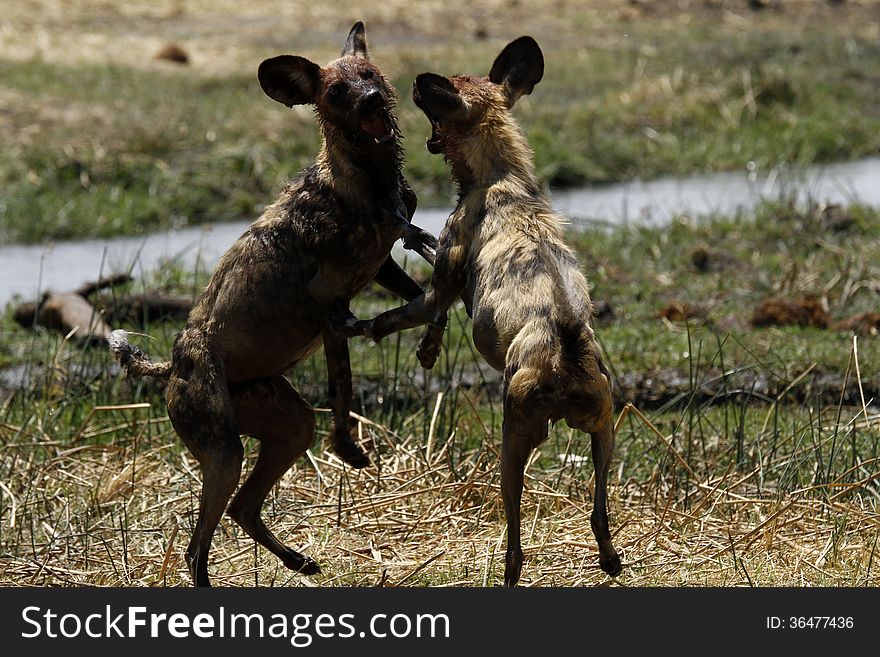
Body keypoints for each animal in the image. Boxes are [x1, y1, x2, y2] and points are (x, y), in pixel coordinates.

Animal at [107, 21, 436, 584]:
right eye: (335, 93)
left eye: (370, 75)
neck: (368, 181)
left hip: (287, 426)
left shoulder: (383, 266)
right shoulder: (329, 303)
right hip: (224, 452)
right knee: (197, 546)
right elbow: (343, 387)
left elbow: (424, 300)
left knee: (243, 508)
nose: (371, 99)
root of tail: (172, 365)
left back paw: (298, 560)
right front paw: (347, 449)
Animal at [356, 38, 620, 588]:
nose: (412, 84)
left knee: (515, 530)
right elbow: (429, 278)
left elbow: (408, 305)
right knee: (598, 511)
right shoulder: (451, 283)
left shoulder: (444, 278)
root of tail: (564, 353)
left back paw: (508, 571)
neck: (503, 175)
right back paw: (609, 559)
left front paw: (370, 329)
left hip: (511, 441)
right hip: (605, 431)